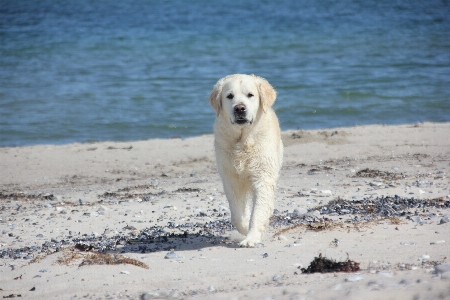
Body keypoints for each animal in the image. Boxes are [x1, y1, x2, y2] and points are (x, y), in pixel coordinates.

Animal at [209, 73, 284, 246]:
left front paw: (251, 238)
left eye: (250, 95)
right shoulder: (231, 178)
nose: (239, 108)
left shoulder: (263, 177)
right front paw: (245, 230)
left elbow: (259, 211)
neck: (242, 140)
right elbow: (238, 215)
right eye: (229, 96)